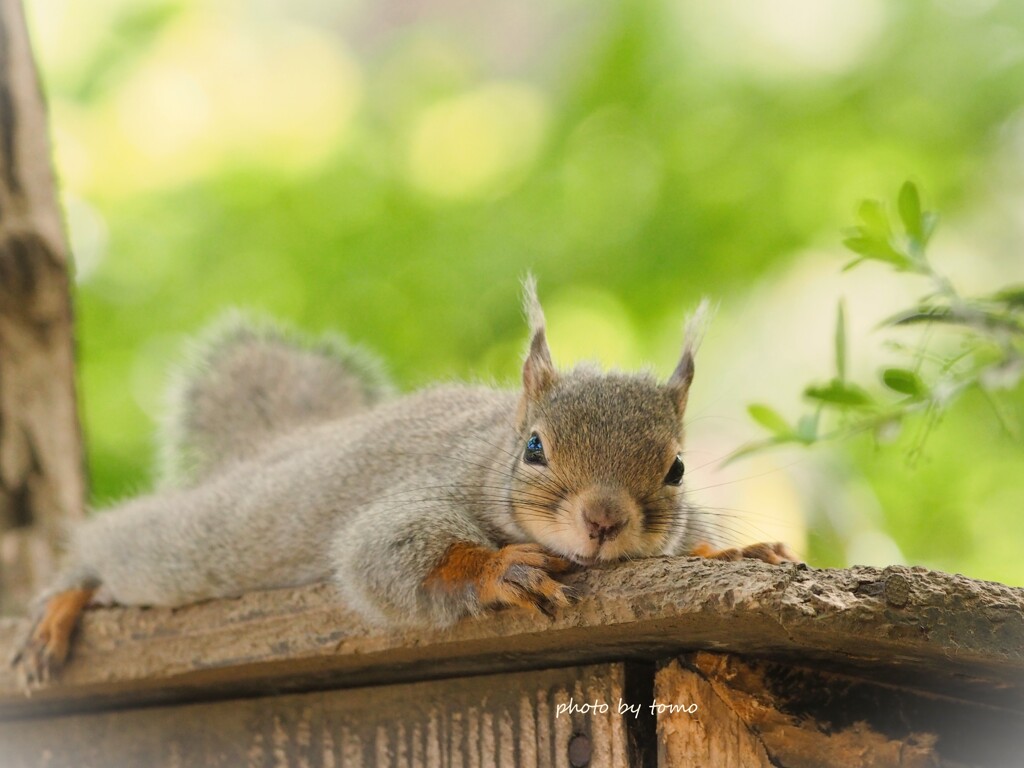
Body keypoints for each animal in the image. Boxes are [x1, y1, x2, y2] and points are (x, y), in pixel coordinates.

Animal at [8, 278, 794, 684]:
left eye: (678, 468)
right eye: (534, 448)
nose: (603, 522)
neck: (488, 454)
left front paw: (734, 553)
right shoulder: (427, 490)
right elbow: (381, 554)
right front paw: (499, 570)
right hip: (198, 544)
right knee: (115, 544)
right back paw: (63, 603)